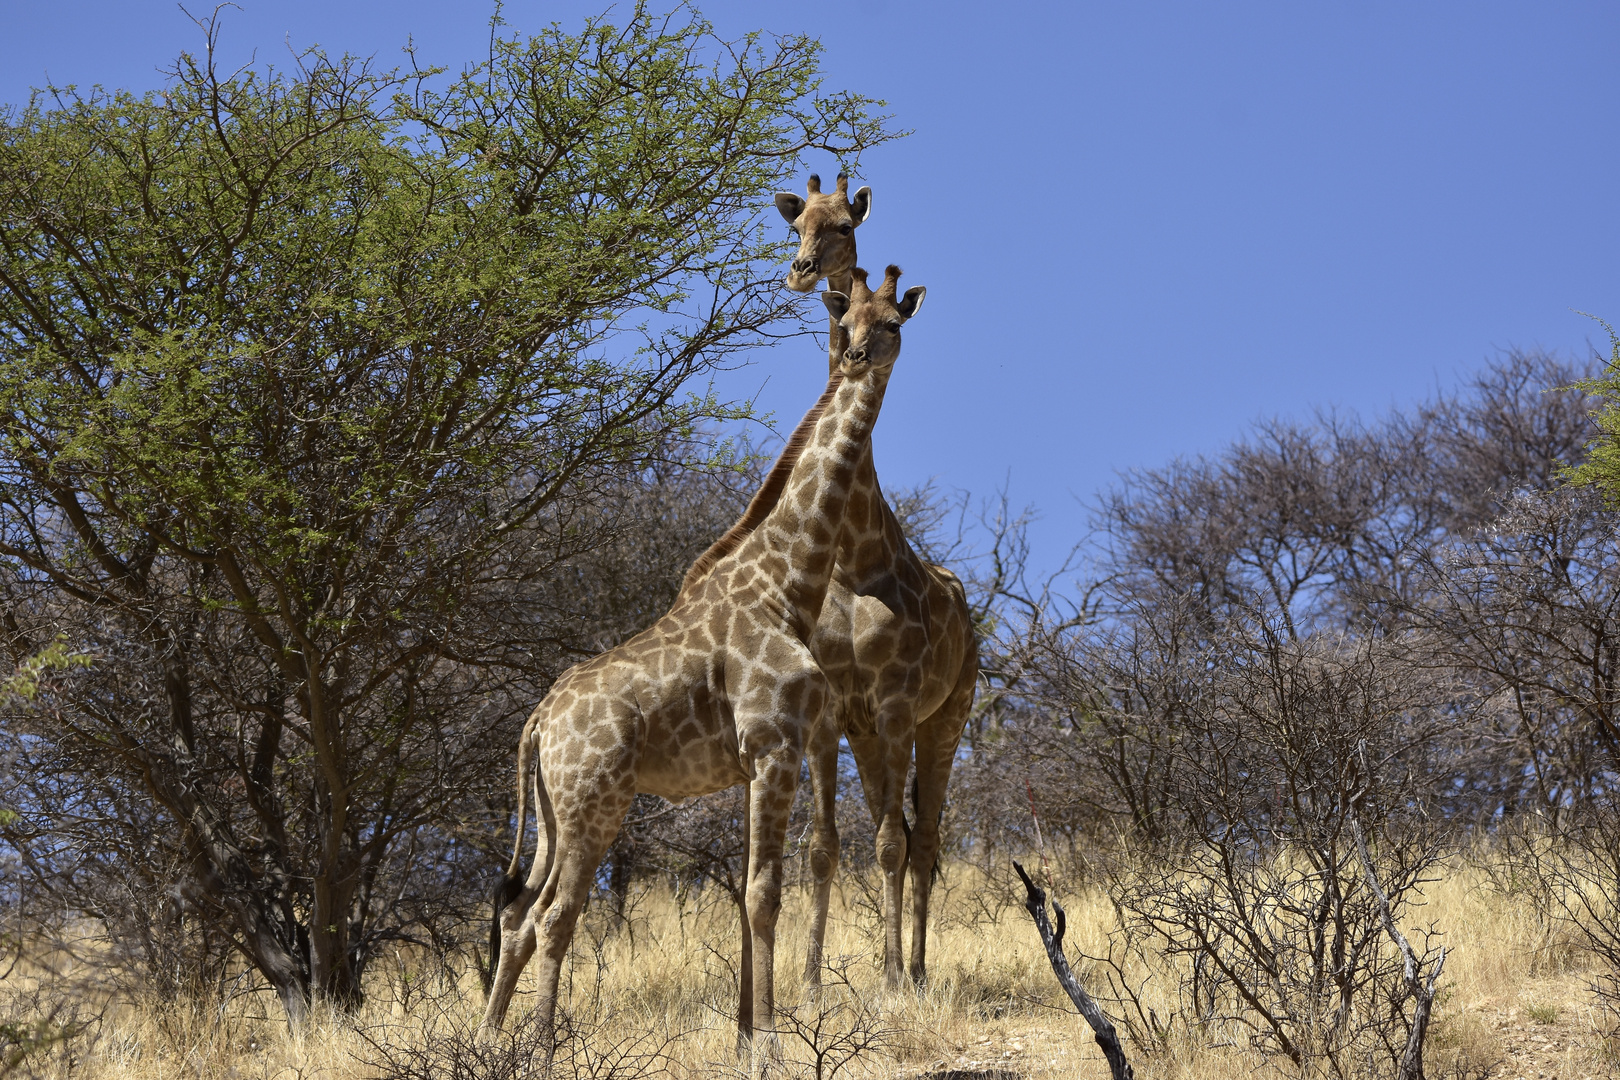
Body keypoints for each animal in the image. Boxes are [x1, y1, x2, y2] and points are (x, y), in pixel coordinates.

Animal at [476, 265, 926, 1062]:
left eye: (892, 323)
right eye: (847, 322)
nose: (857, 359)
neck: (787, 584)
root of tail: (538, 723)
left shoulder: (753, 761)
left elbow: (748, 891)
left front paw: (746, 1037)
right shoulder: (776, 745)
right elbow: (763, 893)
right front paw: (771, 1043)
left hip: (556, 813)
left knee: (518, 911)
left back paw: (491, 1040)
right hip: (596, 803)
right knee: (555, 915)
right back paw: (542, 1047)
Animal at [680, 210, 972, 997]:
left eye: (895, 322)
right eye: (848, 319)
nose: (858, 356)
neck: (856, 562)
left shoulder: (897, 704)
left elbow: (892, 844)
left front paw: (891, 978)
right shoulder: (836, 714)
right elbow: (825, 846)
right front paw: (811, 982)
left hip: (946, 718)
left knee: (924, 837)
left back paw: (918, 968)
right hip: (870, 734)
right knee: (899, 832)